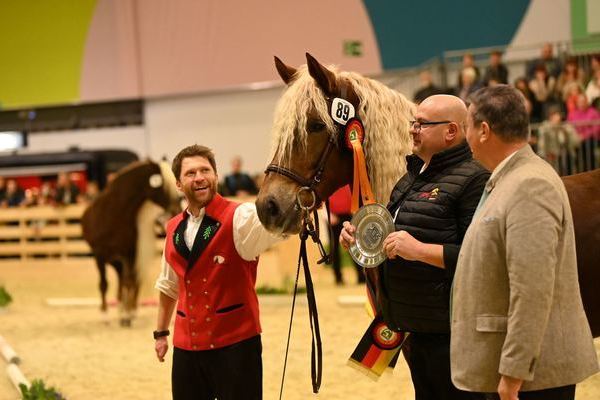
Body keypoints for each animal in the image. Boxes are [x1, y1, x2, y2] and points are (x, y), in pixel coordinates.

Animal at [82, 159, 180, 324]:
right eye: (164, 185)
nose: (177, 210)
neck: (114, 213)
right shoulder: (99, 255)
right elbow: (104, 284)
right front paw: (105, 315)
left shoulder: (129, 253)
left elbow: (129, 281)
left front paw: (127, 317)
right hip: (115, 261)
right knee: (121, 280)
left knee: (132, 280)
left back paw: (129, 311)